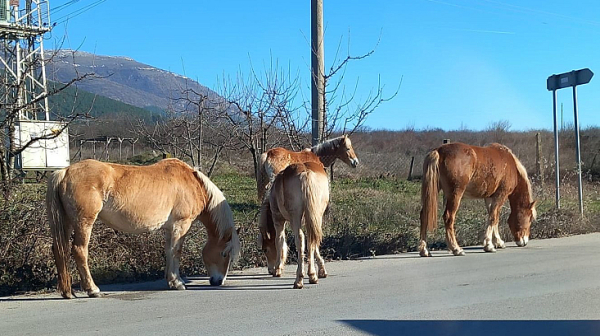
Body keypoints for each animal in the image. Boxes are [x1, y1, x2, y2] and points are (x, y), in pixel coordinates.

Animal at [45, 158, 240, 300]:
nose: (218, 281)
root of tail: (65, 172)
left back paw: (67, 292)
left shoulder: (169, 229)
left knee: (60, 250)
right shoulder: (181, 225)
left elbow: (169, 252)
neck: (192, 183)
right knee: (79, 251)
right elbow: (176, 252)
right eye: (224, 254)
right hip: (84, 223)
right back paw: (93, 289)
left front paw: (170, 281)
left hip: (67, 223)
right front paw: (178, 282)